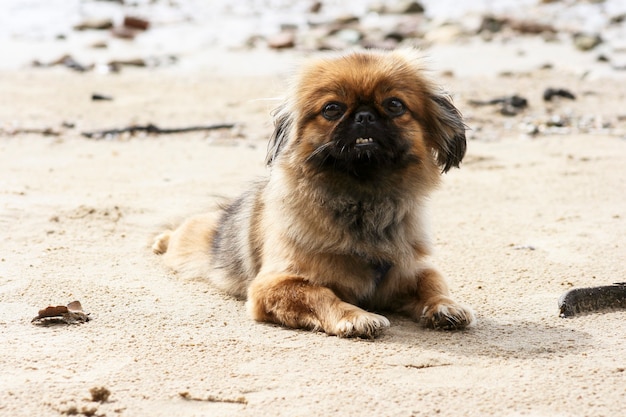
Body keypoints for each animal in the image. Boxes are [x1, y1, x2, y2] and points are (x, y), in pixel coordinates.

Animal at [155, 47, 472, 336]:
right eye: (332, 109)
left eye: (394, 105)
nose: (365, 116)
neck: (363, 202)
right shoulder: (273, 284)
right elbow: (321, 295)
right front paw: (356, 317)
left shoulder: (408, 269)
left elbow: (431, 281)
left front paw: (445, 306)